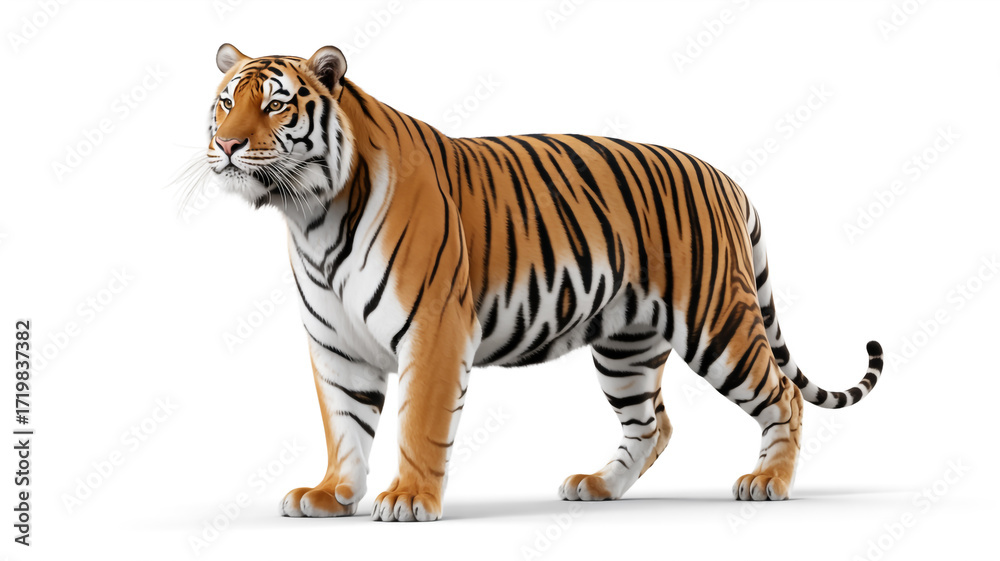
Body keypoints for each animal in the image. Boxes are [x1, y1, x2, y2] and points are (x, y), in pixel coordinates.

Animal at [204, 43, 884, 522]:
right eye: (225, 103)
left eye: (275, 105)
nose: (227, 145)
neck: (313, 217)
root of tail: (726, 178)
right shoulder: (337, 345)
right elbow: (344, 424)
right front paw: (332, 495)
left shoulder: (435, 329)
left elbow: (418, 420)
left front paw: (409, 499)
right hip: (626, 347)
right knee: (652, 424)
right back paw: (598, 486)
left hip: (718, 323)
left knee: (784, 396)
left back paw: (767, 483)